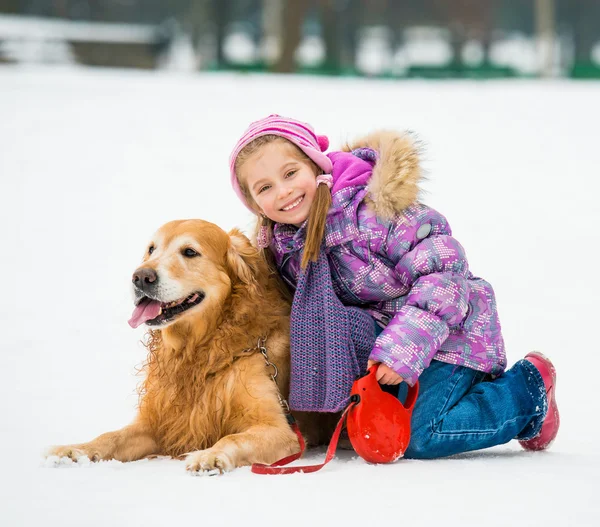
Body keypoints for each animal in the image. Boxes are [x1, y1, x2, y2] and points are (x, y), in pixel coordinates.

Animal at [45, 221, 314, 476]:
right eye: (151, 249)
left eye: (190, 252)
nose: (141, 277)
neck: (198, 350)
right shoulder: (156, 423)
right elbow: (111, 436)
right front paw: (74, 450)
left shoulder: (280, 430)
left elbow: (232, 438)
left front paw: (210, 456)